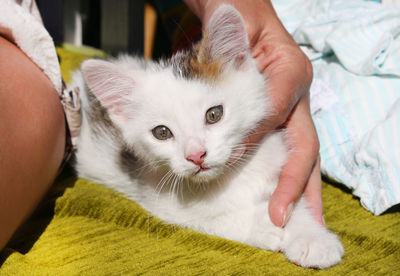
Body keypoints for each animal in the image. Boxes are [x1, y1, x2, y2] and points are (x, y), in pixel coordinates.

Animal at [71, 3, 340, 268]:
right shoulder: (160, 199)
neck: (231, 176)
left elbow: (291, 198)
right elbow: (210, 218)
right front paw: (260, 224)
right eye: (162, 132)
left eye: (214, 114)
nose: (196, 155)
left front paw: (311, 237)